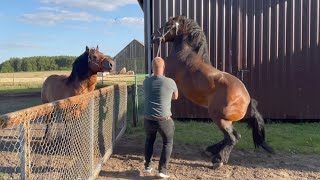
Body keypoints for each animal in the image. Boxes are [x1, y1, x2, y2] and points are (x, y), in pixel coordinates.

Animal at [154, 15, 274, 169]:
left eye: (167, 24)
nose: (153, 37)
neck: (184, 54)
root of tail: (248, 100)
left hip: (218, 117)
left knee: (232, 137)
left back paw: (218, 160)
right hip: (225, 120)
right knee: (232, 136)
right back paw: (211, 151)